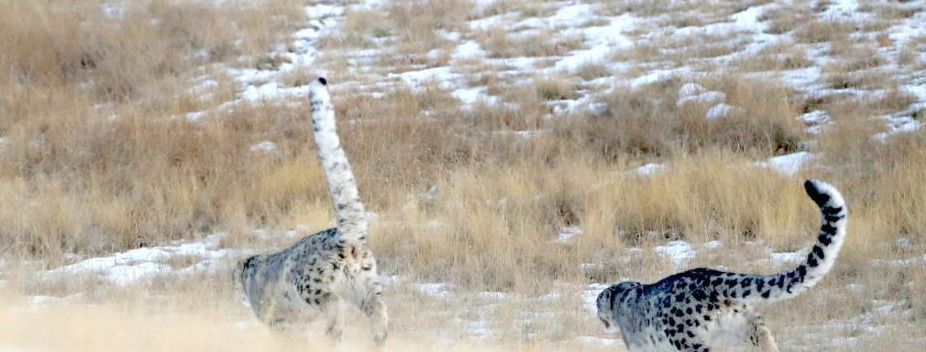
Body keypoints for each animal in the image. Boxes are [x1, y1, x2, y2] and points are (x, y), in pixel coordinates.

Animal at [236, 77, 392, 346]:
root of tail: (348, 242)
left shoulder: (278, 321)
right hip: (366, 284)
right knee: (377, 306)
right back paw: (379, 338)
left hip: (312, 286)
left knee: (334, 303)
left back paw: (333, 334)